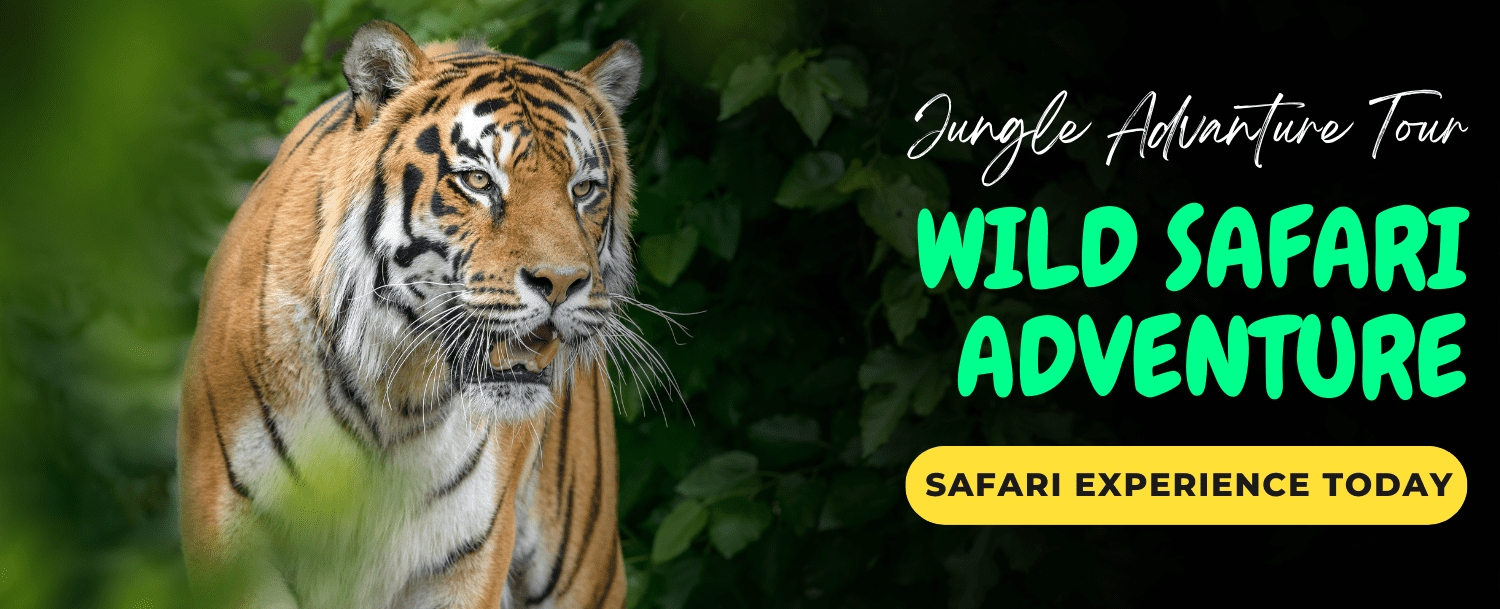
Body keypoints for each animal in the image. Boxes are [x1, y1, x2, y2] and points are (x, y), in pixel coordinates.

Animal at [179, 20, 656, 608]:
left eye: (584, 188)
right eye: (478, 181)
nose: (563, 282)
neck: (393, 400)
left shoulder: (464, 561)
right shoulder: (233, 544)